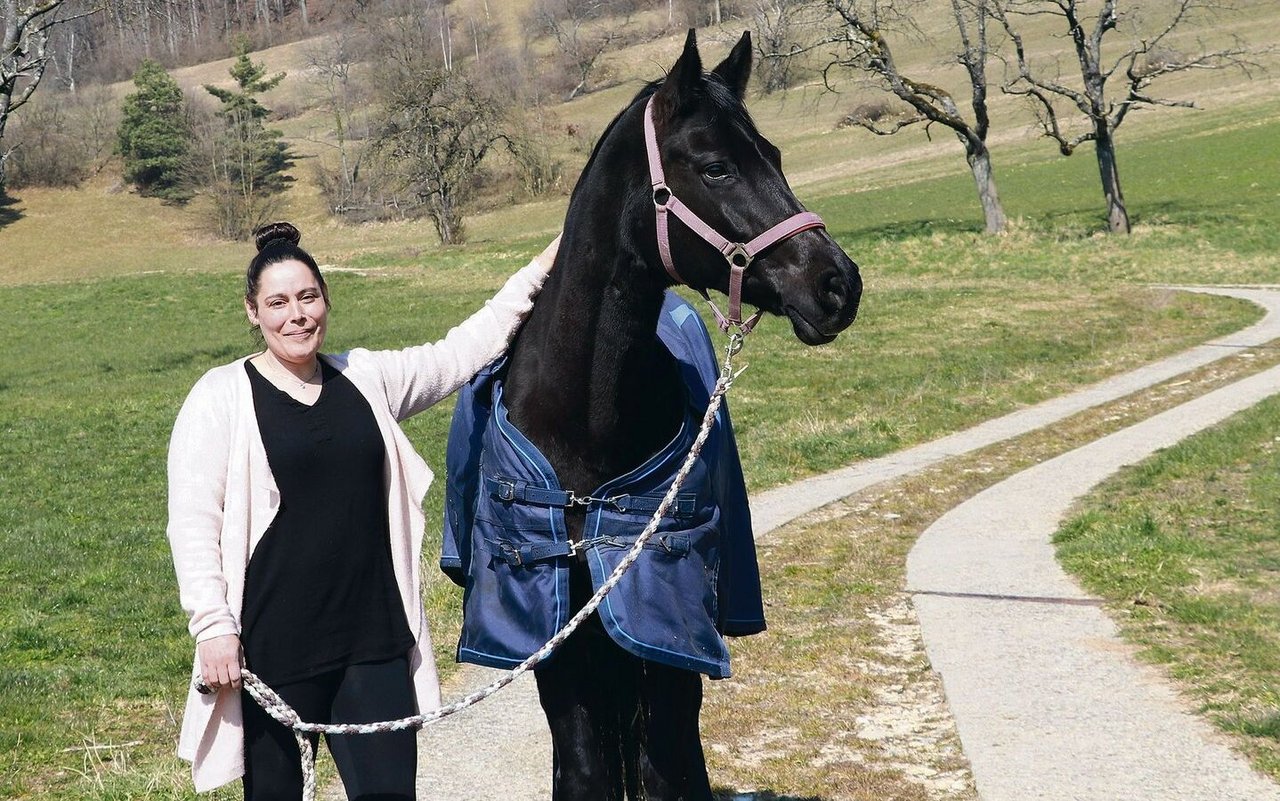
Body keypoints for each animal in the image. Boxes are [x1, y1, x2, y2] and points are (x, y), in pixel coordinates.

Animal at [471, 29, 860, 798]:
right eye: (715, 167)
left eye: (774, 156)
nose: (838, 283)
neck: (583, 426)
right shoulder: (563, 647)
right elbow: (585, 767)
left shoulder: (666, 635)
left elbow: (667, 762)